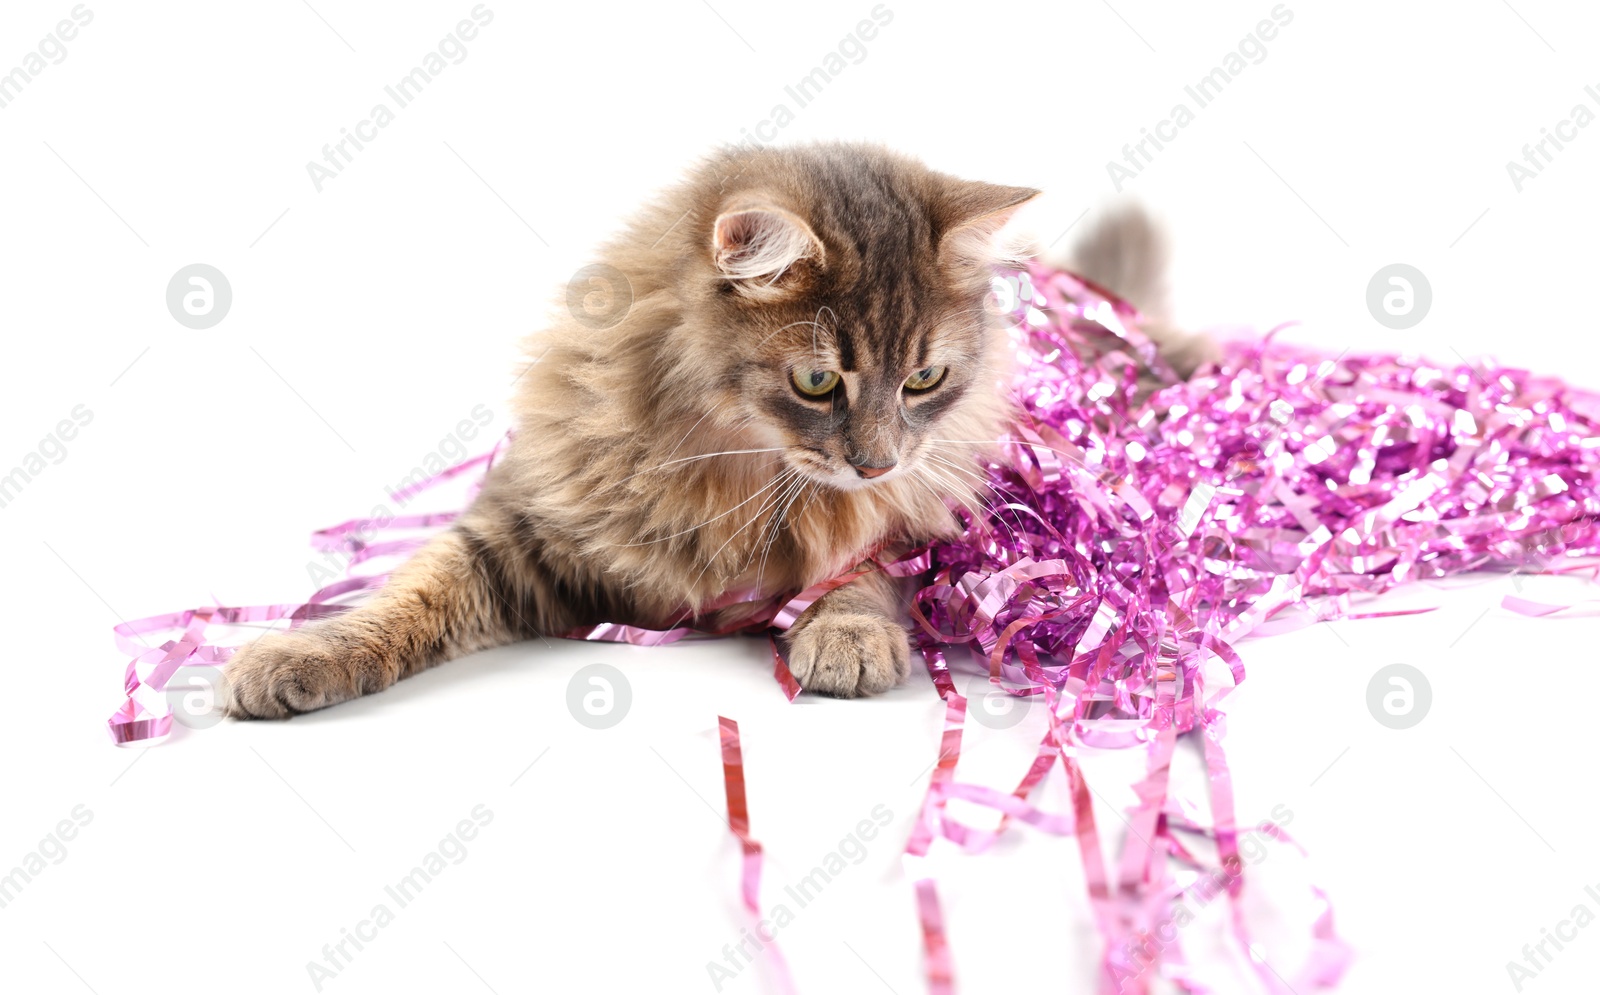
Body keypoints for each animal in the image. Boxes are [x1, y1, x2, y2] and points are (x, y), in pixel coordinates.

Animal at [222, 138, 1190, 716]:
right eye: (817, 380)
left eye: (924, 379)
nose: (876, 461)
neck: (735, 469)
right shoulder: (524, 525)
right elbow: (409, 593)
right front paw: (300, 654)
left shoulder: (918, 523)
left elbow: (863, 570)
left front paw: (846, 636)